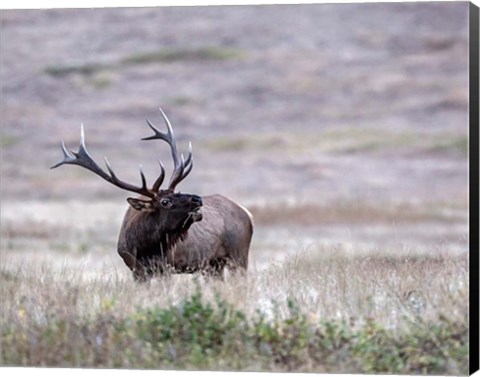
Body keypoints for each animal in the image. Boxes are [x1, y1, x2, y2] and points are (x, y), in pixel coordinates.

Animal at [51, 108, 255, 280]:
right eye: (165, 201)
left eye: (177, 191)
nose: (197, 198)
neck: (144, 247)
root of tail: (247, 214)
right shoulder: (136, 271)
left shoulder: (167, 267)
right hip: (213, 265)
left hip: (238, 255)